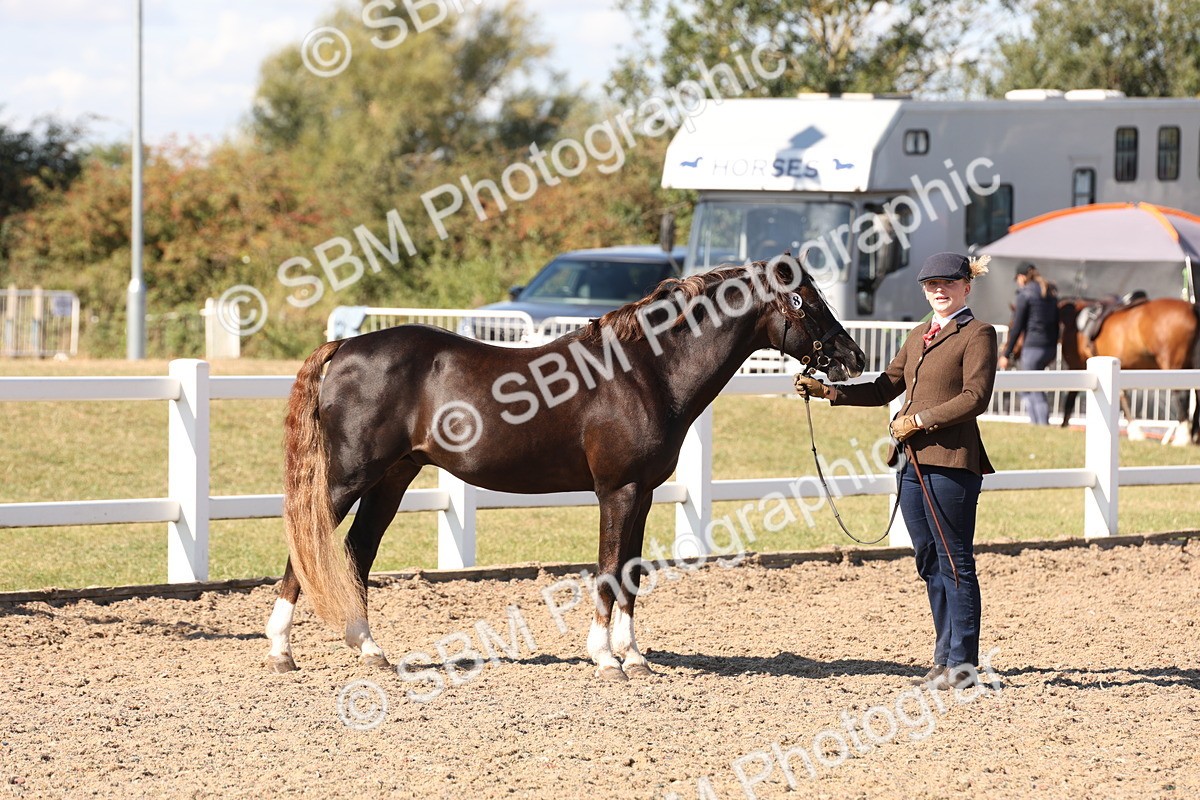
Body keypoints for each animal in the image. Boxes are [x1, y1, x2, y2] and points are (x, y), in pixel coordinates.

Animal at [265, 256, 867, 680]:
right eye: (804, 299)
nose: (853, 357)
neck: (643, 372)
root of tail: (345, 345)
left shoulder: (644, 493)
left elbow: (630, 573)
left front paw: (634, 657)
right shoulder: (617, 491)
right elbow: (607, 571)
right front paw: (604, 658)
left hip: (392, 477)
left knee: (357, 553)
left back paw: (370, 650)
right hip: (347, 477)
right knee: (308, 543)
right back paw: (281, 651)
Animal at [1058, 297, 1200, 443]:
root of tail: (1192, 308)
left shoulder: (1077, 365)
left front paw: (1135, 431)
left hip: (1173, 363)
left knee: (1182, 394)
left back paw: (1183, 436)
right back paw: (1195, 435)